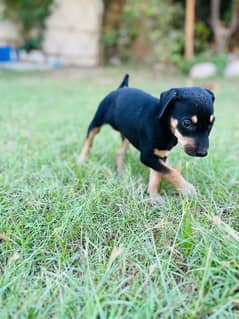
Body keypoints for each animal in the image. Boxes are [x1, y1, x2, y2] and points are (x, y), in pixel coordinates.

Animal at [80, 75, 215, 202]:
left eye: (211, 124)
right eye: (187, 123)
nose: (203, 153)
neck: (164, 125)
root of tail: (122, 87)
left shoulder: (160, 155)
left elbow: (158, 175)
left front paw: (154, 196)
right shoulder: (147, 156)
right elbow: (171, 171)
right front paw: (186, 188)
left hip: (127, 134)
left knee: (120, 151)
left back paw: (121, 170)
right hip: (97, 121)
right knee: (89, 139)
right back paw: (82, 159)